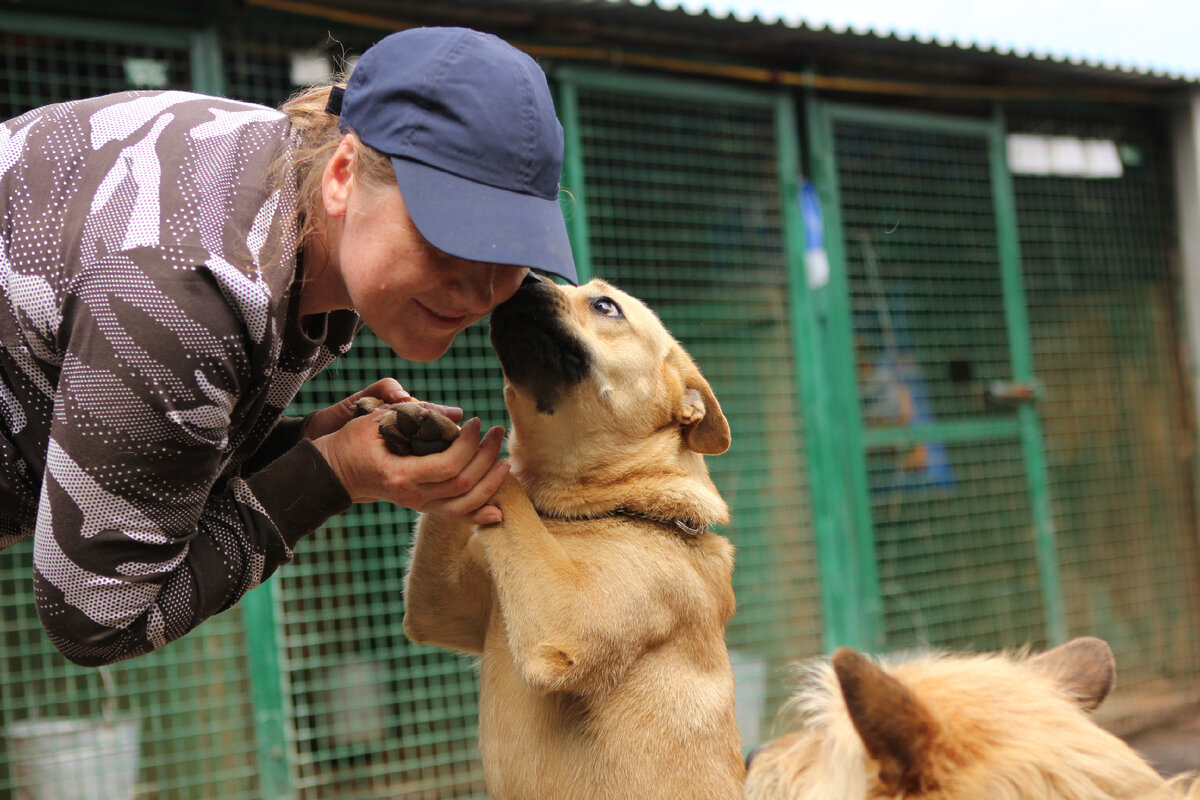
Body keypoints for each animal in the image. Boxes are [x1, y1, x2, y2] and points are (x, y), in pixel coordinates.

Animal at [398, 277, 744, 800]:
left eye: (605, 305)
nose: (523, 278)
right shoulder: (439, 608)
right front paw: (427, 420)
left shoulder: (567, 621)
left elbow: (505, 479)